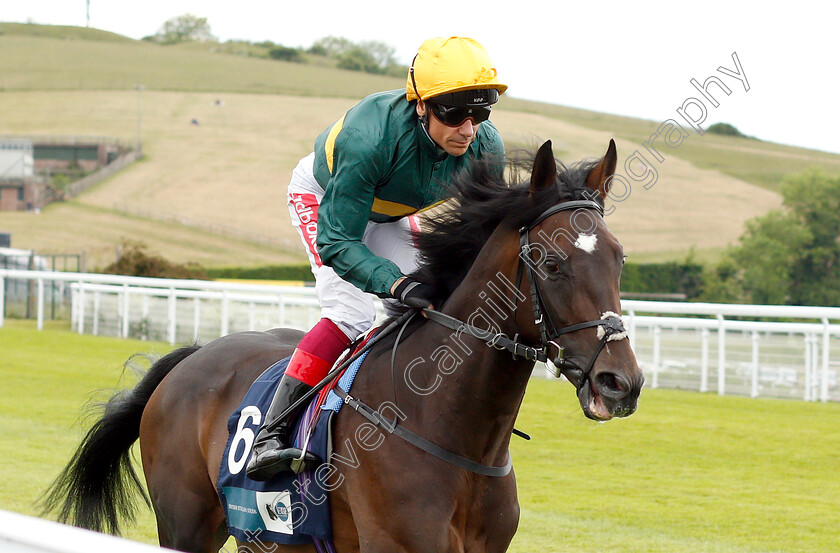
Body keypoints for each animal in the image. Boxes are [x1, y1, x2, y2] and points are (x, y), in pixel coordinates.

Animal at [41, 140, 644, 552]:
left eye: (619, 258)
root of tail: (190, 358)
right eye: (552, 263)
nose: (621, 383)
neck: (453, 430)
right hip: (186, 524)